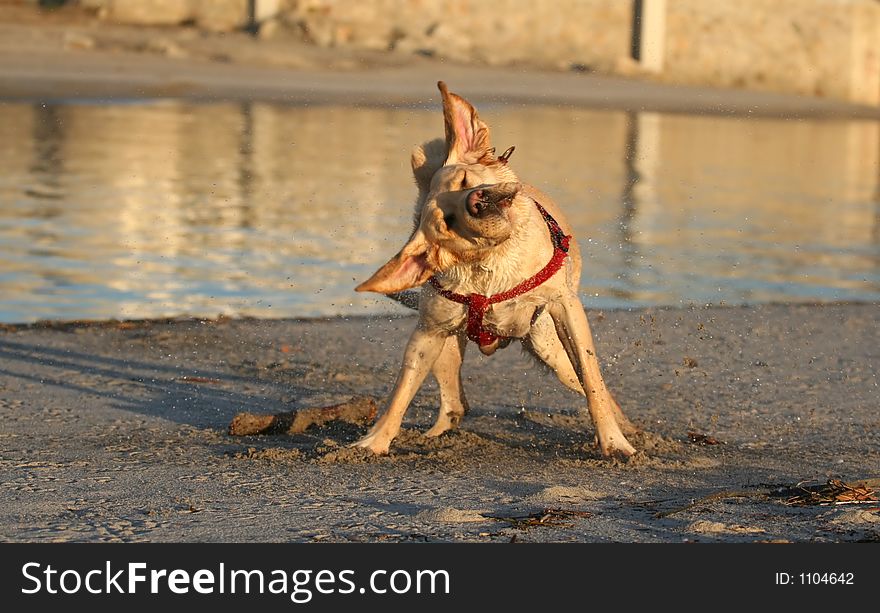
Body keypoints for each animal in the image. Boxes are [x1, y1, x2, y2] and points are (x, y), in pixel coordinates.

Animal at [354, 81, 636, 456]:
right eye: (448, 221)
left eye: (463, 180)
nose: (478, 201)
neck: (495, 264)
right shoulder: (427, 333)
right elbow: (401, 391)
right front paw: (374, 441)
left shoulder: (565, 308)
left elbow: (592, 379)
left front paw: (612, 442)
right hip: (443, 341)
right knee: (455, 402)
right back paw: (438, 432)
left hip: (550, 347)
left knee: (595, 384)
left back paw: (626, 428)